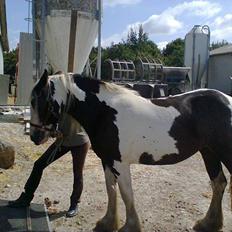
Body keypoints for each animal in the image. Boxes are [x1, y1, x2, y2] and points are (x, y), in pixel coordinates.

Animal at [29, 69, 232, 232]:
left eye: (39, 100)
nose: (34, 136)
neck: (105, 112)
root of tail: (227, 100)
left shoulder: (120, 163)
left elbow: (126, 193)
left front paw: (130, 226)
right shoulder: (107, 160)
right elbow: (111, 190)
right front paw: (107, 223)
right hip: (209, 152)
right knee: (219, 183)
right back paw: (208, 223)